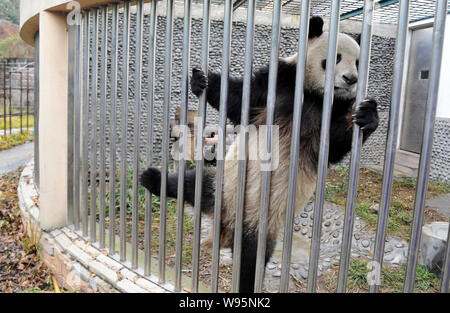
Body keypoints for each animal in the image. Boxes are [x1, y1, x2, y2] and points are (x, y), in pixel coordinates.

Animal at [139, 15, 378, 292]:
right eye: (335, 58)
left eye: (359, 62)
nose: (351, 79)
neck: (314, 96)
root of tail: (226, 223)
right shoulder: (279, 83)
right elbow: (240, 99)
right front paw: (202, 81)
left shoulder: (331, 113)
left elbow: (335, 144)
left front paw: (367, 116)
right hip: (223, 183)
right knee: (189, 183)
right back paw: (152, 178)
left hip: (261, 223)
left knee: (250, 263)